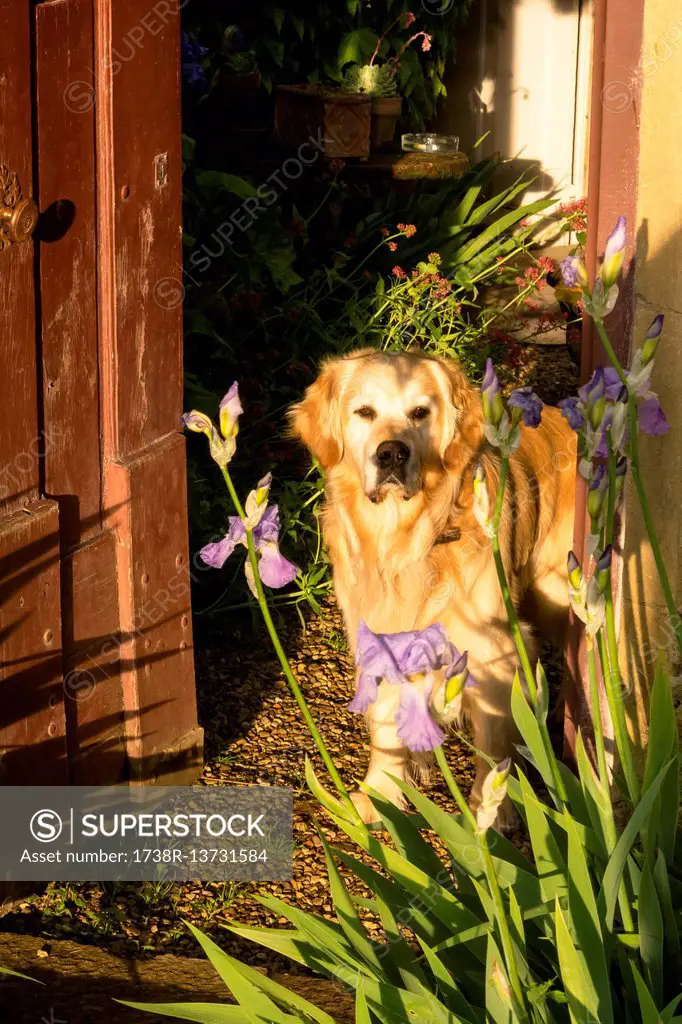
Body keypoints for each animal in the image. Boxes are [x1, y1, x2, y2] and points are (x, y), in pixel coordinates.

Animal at [288, 350, 573, 823]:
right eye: (364, 412)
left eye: (421, 412)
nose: (391, 454)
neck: (407, 542)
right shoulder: (383, 638)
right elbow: (386, 729)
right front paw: (381, 792)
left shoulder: (492, 655)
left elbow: (492, 746)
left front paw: (487, 818)